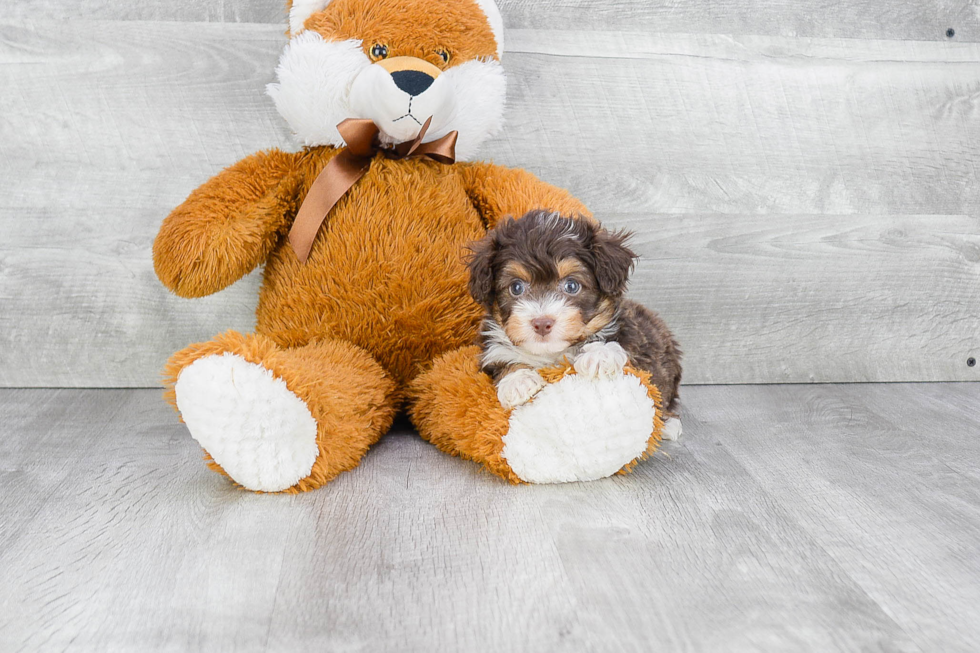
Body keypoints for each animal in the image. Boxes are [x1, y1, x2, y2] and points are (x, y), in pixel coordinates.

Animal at [466, 210, 680, 438]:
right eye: (516, 287)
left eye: (571, 285)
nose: (542, 323)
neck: (551, 355)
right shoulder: (490, 350)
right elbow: (501, 359)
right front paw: (518, 381)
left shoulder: (636, 338)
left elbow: (621, 342)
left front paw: (599, 355)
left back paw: (669, 424)